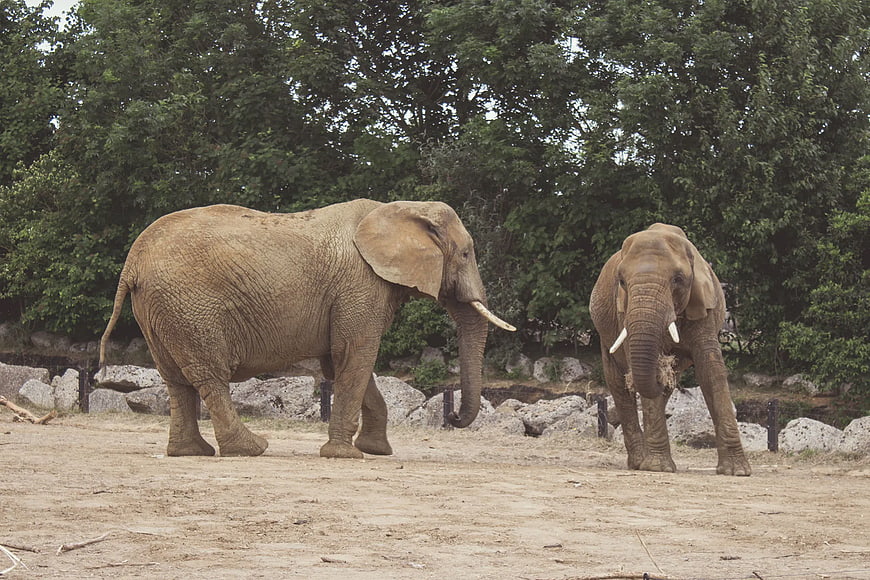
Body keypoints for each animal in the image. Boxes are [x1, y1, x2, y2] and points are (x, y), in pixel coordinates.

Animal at [99, 199, 515, 459]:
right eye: (466, 253)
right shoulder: (359, 286)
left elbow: (341, 362)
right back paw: (252, 449)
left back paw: (191, 452)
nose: (453, 417)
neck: (401, 209)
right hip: (189, 307)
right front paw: (346, 456)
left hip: (161, 309)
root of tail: (132, 262)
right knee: (209, 376)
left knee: (176, 380)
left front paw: (375, 451)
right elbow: (355, 356)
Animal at [589, 224, 750, 476]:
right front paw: (657, 468)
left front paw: (737, 471)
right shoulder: (624, 310)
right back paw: (639, 462)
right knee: (617, 383)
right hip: (606, 334)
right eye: (622, 281)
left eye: (678, 279)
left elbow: (710, 370)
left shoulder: (705, 309)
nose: (665, 363)